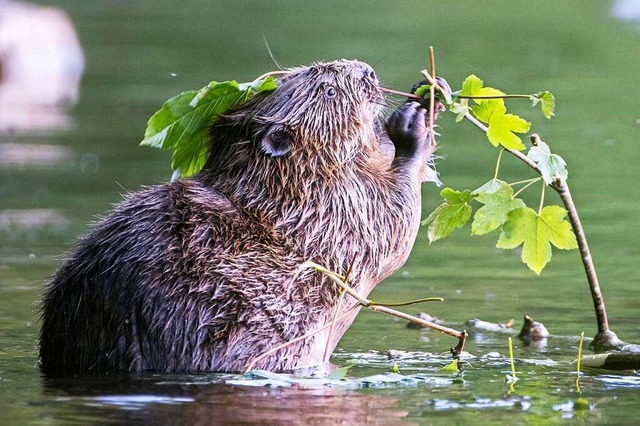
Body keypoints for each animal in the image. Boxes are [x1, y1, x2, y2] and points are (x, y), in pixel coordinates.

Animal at [37, 60, 442, 376]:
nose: (368, 72)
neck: (280, 192)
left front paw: (426, 94)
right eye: (328, 90)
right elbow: (393, 227)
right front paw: (412, 124)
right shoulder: (340, 213)